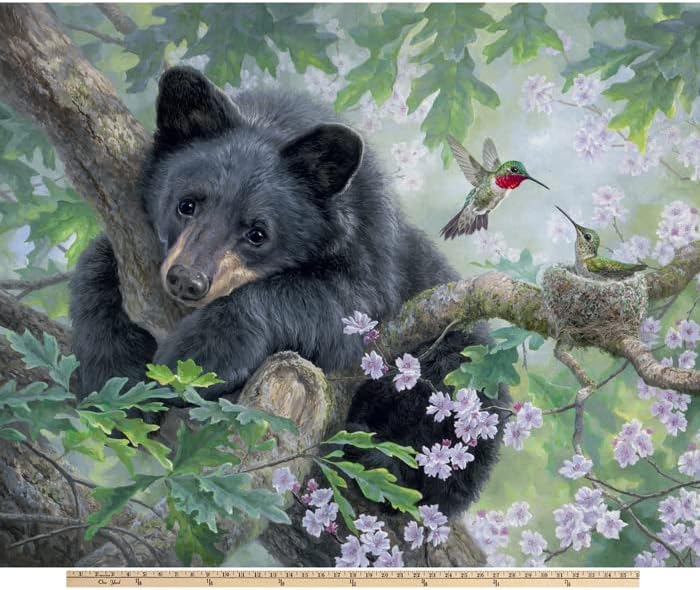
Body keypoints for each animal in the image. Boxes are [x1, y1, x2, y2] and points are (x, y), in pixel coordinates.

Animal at [69, 66, 508, 517]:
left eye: (258, 233)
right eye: (187, 204)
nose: (187, 280)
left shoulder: (370, 255)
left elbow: (338, 305)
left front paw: (198, 355)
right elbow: (98, 262)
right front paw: (114, 374)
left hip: (459, 372)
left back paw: (378, 455)